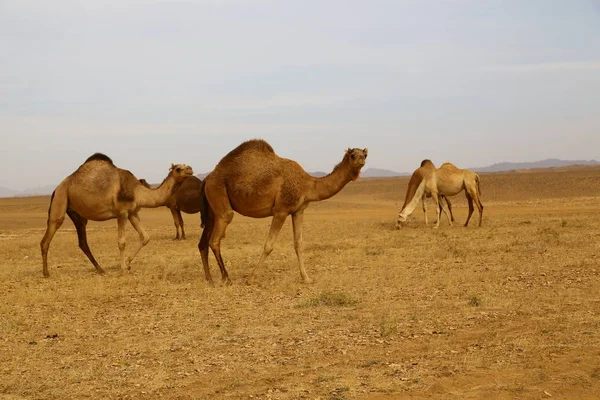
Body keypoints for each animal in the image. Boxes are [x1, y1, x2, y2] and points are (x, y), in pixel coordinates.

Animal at [39, 154, 193, 278]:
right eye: (178, 168)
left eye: (186, 165)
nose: (190, 169)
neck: (138, 192)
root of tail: (56, 188)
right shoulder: (122, 212)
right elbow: (122, 242)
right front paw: (123, 267)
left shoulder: (132, 213)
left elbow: (145, 237)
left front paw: (128, 263)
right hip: (60, 199)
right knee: (48, 236)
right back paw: (46, 273)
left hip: (76, 212)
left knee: (82, 241)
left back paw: (100, 269)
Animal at [198, 140, 366, 284]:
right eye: (353, 154)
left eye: (364, 154)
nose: (361, 161)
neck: (308, 185)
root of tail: (207, 178)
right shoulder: (281, 210)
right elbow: (269, 245)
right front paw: (251, 279)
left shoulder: (298, 211)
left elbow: (298, 244)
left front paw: (306, 278)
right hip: (219, 193)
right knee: (216, 237)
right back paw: (226, 278)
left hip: (212, 207)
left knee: (203, 243)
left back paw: (209, 279)